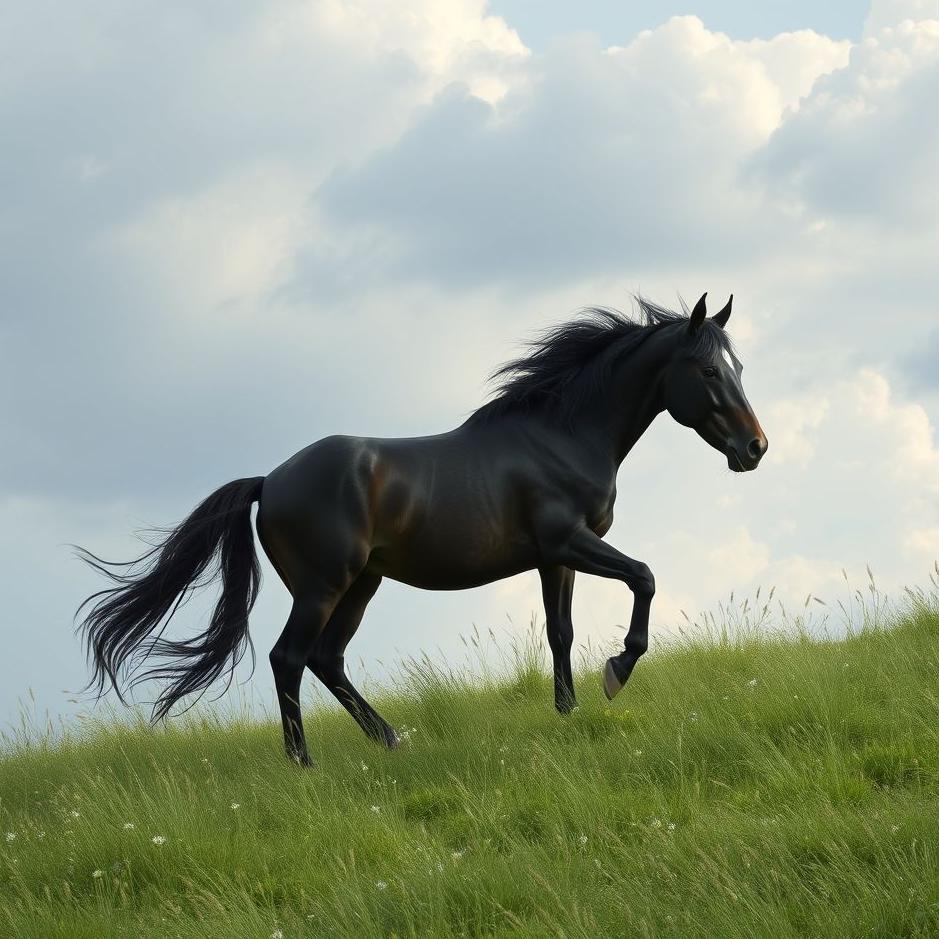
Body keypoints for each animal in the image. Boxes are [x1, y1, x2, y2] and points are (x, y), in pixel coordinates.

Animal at [76, 292, 767, 766]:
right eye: (709, 371)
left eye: (739, 369)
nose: (755, 448)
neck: (563, 436)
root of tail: (269, 481)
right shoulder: (569, 541)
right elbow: (643, 577)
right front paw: (617, 671)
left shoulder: (556, 558)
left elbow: (561, 632)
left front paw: (568, 711)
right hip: (323, 586)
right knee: (288, 658)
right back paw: (303, 762)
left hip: (361, 585)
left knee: (327, 660)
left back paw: (391, 740)